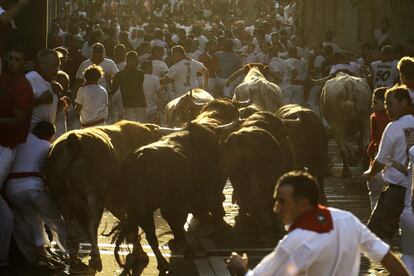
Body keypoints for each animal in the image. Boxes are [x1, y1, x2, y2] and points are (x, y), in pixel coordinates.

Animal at [45, 121, 161, 272]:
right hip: (93, 196)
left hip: (61, 198)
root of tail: (73, 140)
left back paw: (74, 258)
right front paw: (139, 252)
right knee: (91, 224)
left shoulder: (112, 199)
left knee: (70, 227)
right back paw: (95, 259)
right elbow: (130, 222)